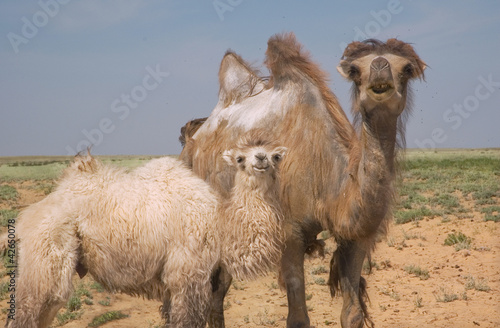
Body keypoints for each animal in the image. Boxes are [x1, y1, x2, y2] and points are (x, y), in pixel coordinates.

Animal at [180, 31, 426, 328]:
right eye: (355, 70)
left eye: (407, 68)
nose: (380, 68)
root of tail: (193, 136)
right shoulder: (289, 234)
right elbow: (297, 317)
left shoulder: (355, 236)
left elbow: (352, 313)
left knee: (218, 290)